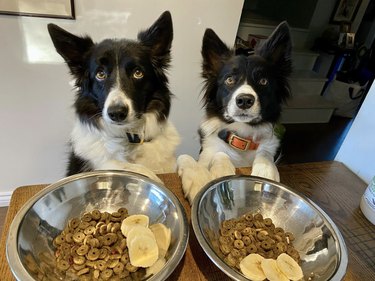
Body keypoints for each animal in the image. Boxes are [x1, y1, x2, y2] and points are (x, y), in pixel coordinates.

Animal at [179, 21, 294, 201]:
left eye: (263, 81)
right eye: (230, 80)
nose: (245, 100)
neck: (242, 138)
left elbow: (265, 153)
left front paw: (265, 171)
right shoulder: (210, 151)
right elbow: (220, 154)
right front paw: (221, 172)